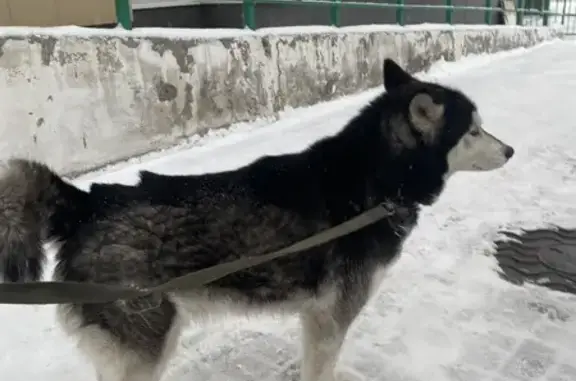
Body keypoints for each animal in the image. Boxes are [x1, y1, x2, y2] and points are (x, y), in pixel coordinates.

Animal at [0, 57, 512, 380]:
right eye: (474, 130)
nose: (509, 150)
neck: (377, 182)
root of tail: (88, 202)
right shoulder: (330, 319)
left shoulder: (317, 318)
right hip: (145, 349)